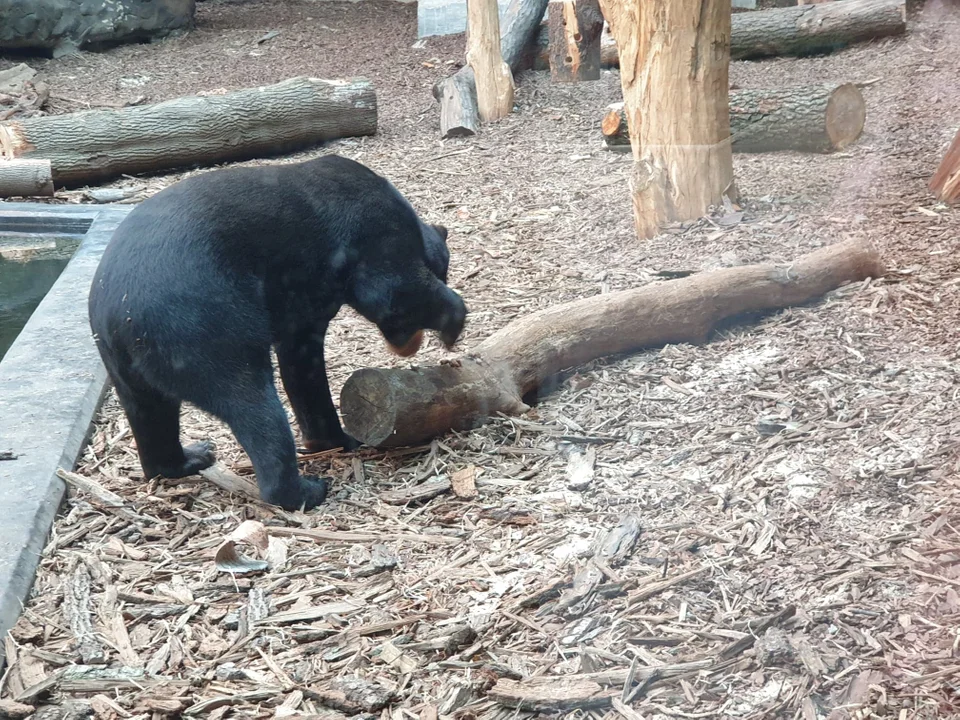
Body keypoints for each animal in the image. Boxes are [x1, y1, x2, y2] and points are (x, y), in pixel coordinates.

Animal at [88, 154, 466, 510]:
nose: (406, 346)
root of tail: (121, 314)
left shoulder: (300, 308)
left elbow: (302, 367)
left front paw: (335, 439)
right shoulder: (371, 236)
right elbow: (393, 290)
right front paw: (453, 325)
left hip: (123, 366)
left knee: (151, 414)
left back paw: (188, 459)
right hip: (204, 332)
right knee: (255, 408)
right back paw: (304, 490)